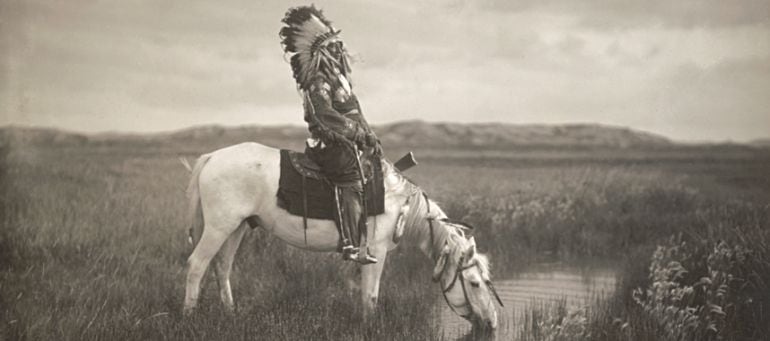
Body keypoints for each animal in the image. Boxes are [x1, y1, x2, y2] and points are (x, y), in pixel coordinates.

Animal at [183, 141, 500, 330]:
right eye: (474, 283)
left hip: (236, 227)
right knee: (197, 265)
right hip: (219, 226)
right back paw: (190, 316)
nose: (492, 323)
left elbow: (363, 293)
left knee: (222, 267)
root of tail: (212, 157)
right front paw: (370, 328)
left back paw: (230, 314)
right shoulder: (376, 252)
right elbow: (370, 295)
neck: (400, 204)